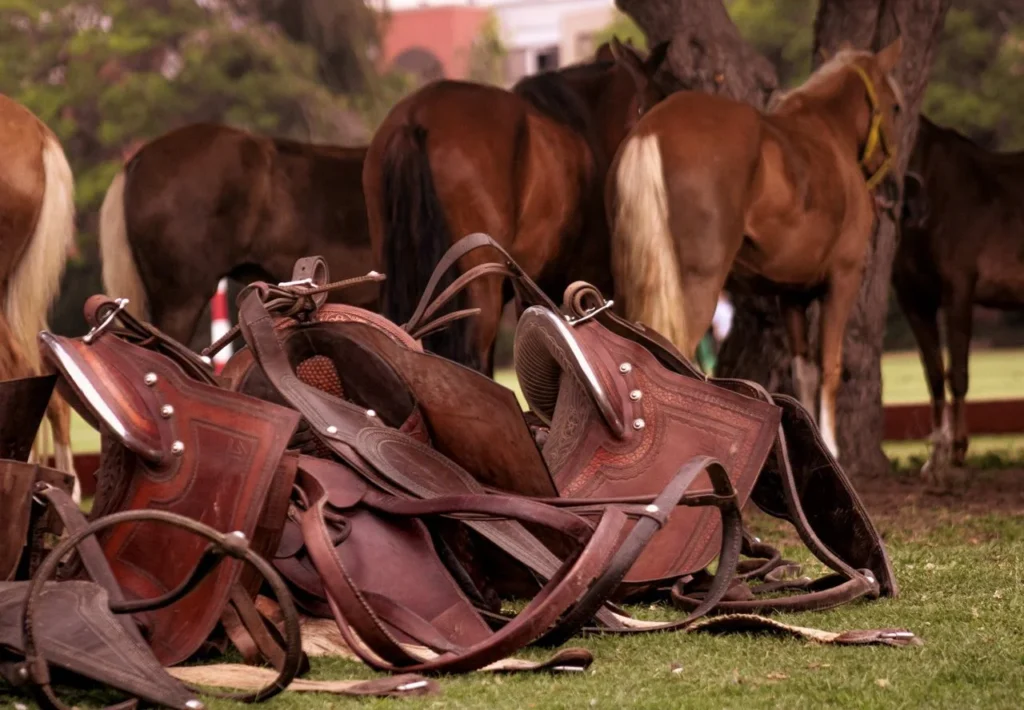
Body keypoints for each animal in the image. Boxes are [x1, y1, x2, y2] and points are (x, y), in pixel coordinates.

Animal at [607, 39, 905, 460]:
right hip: (695, 289)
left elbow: (804, 370)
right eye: (895, 106)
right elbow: (830, 366)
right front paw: (832, 448)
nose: (894, 189)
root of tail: (650, 130)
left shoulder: (791, 293)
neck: (829, 134)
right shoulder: (843, 278)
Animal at [896, 115, 1024, 473]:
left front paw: (957, 451)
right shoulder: (915, 301)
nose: (917, 209)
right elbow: (935, 375)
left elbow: (959, 374)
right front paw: (935, 457)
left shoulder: (959, 292)